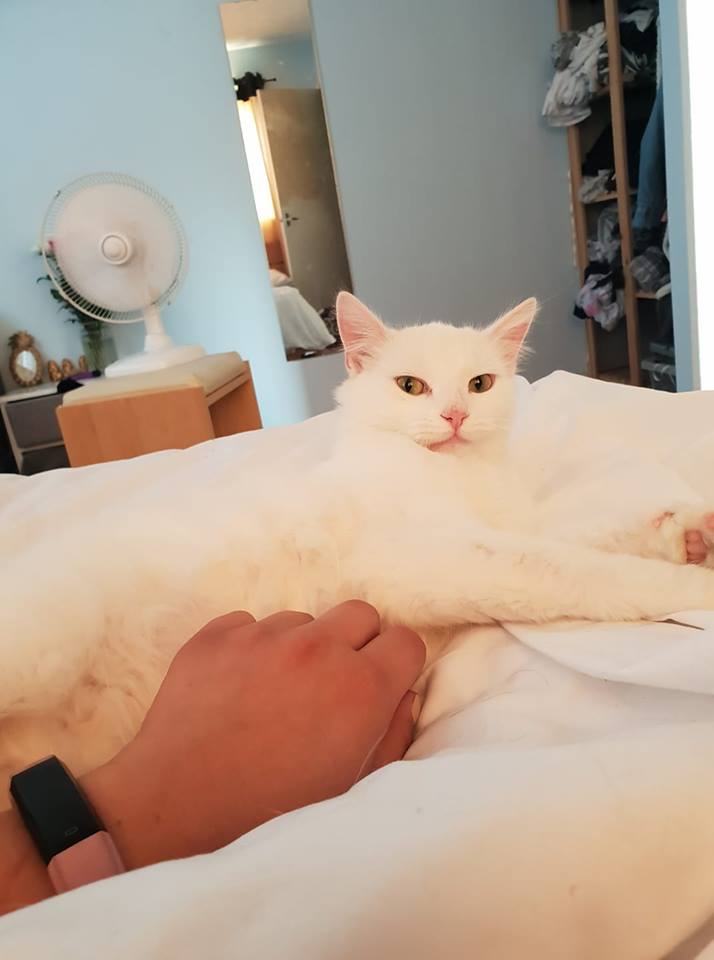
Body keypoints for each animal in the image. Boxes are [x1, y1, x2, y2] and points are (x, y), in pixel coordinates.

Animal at [1, 292, 712, 788]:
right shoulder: (445, 560)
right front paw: (692, 584)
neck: (454, 473)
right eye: (410, 386)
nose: (455, 415)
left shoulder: (506, 526)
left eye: (480, 385)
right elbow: (581, 570)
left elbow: (590, 532)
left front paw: (690, 532)